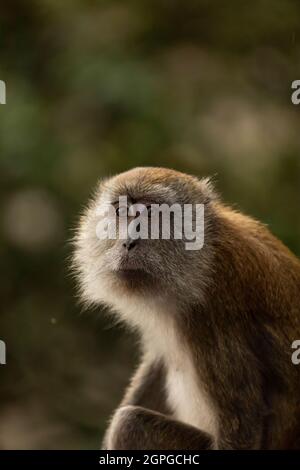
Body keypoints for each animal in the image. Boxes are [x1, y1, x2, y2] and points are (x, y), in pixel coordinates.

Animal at [74, 167, 300, 450]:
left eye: (151, 212)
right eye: (121, 210)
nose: (127, 242)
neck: (203, 258)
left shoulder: (214, 312)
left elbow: (242, 429)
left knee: (129, 425)